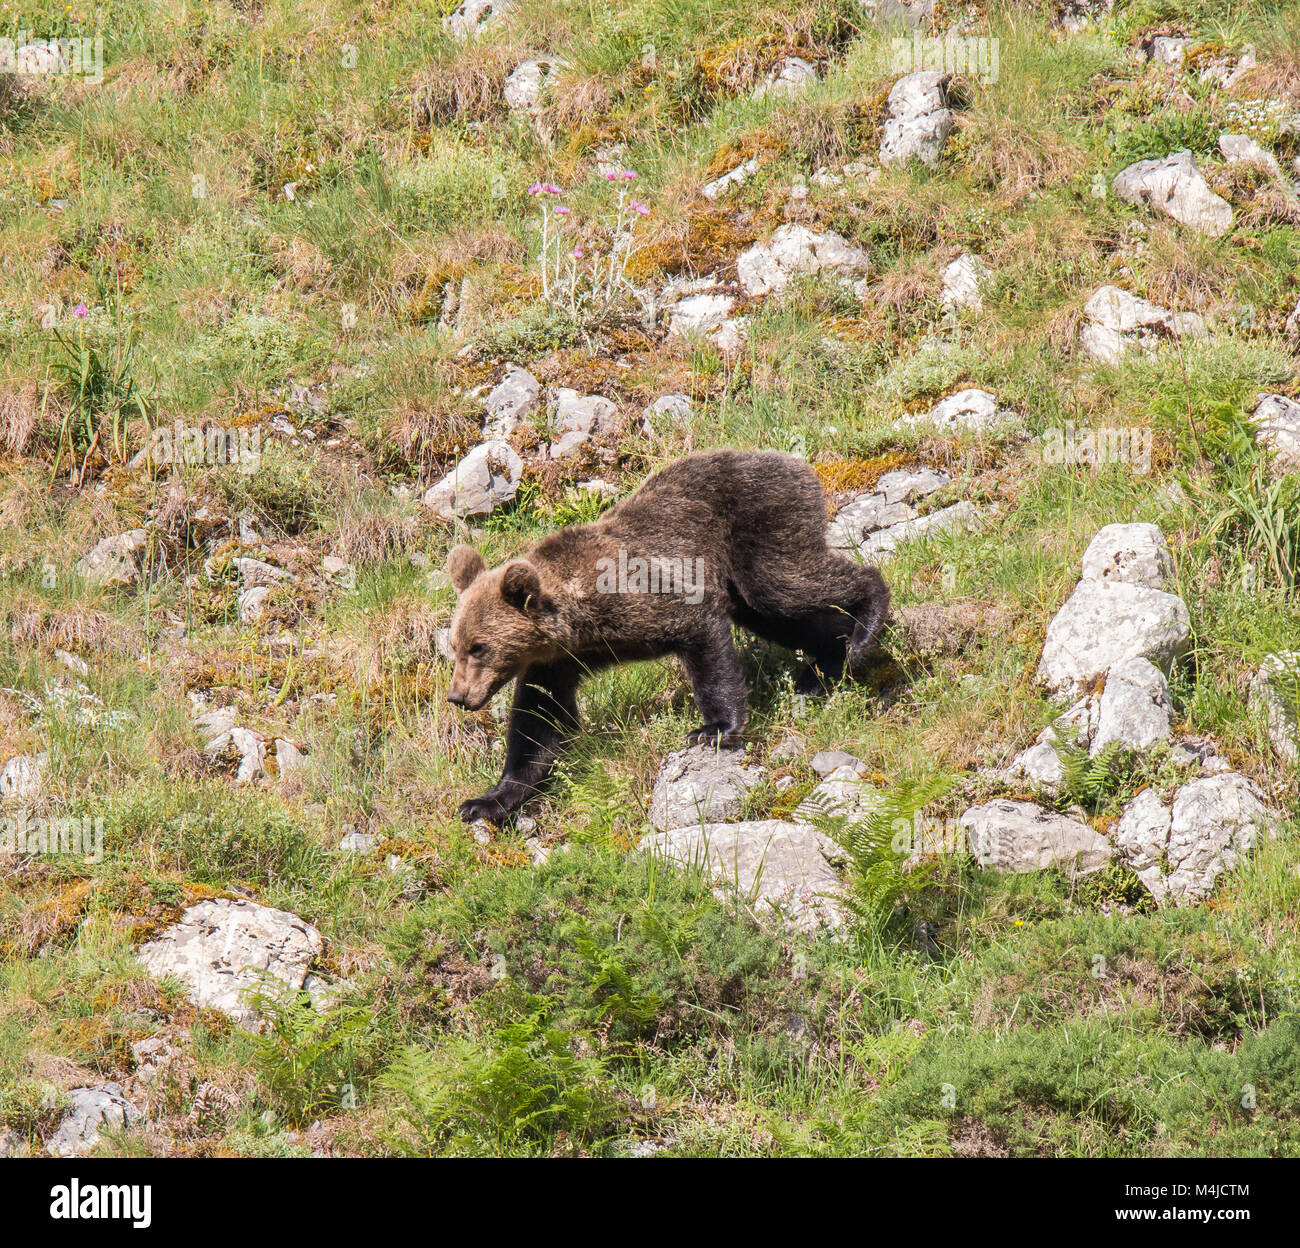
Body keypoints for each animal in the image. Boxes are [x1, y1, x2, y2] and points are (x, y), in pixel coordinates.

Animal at [444, 444, 883, 821]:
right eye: (456, 647)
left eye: (479, 647)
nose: (458, 696)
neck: (580, 620)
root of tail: (796, 462)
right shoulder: (559, 661)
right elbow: (538, 720)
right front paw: (487, 800)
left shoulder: (642, 596)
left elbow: (701, 635)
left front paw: (714, 729)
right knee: (777, 615)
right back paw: (824, 667)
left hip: (761, 522)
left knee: (788, 585)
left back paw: (866, 624)